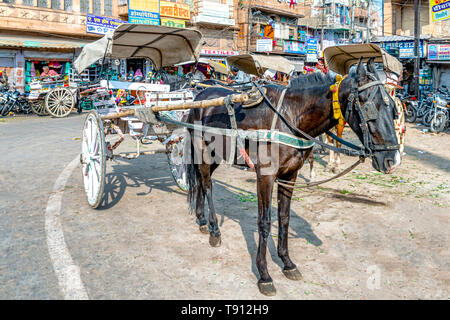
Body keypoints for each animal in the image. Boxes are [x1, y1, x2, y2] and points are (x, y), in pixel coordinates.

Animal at [183, 58, 400, 296]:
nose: (393, 160)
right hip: (203, 153)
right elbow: (265, 222)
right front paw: (264, 274)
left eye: (393, 108)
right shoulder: (265, 176)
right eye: (368, 106)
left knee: (201, 182)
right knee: (207, 184)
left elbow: (284, 218)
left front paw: (287, 263)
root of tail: (200, 96)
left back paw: (202, 219)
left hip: (217, 155)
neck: (291, 117)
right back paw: (214, 229)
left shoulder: (290, 175)